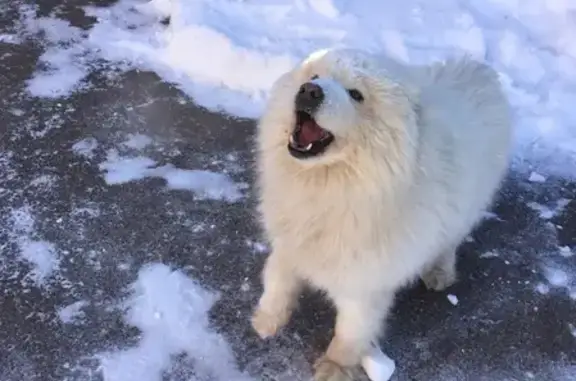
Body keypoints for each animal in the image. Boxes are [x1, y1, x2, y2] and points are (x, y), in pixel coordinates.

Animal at [250, 48, 510, 380]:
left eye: (356, 94)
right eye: (314, 76)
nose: (309, 90)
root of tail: (480, 71)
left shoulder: (366, 280)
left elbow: (351, 330)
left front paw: (334, 368)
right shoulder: (290, 243)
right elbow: (277, 280)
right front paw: (267, 320)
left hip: (465, 210)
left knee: (448, 244)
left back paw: (439, 273)